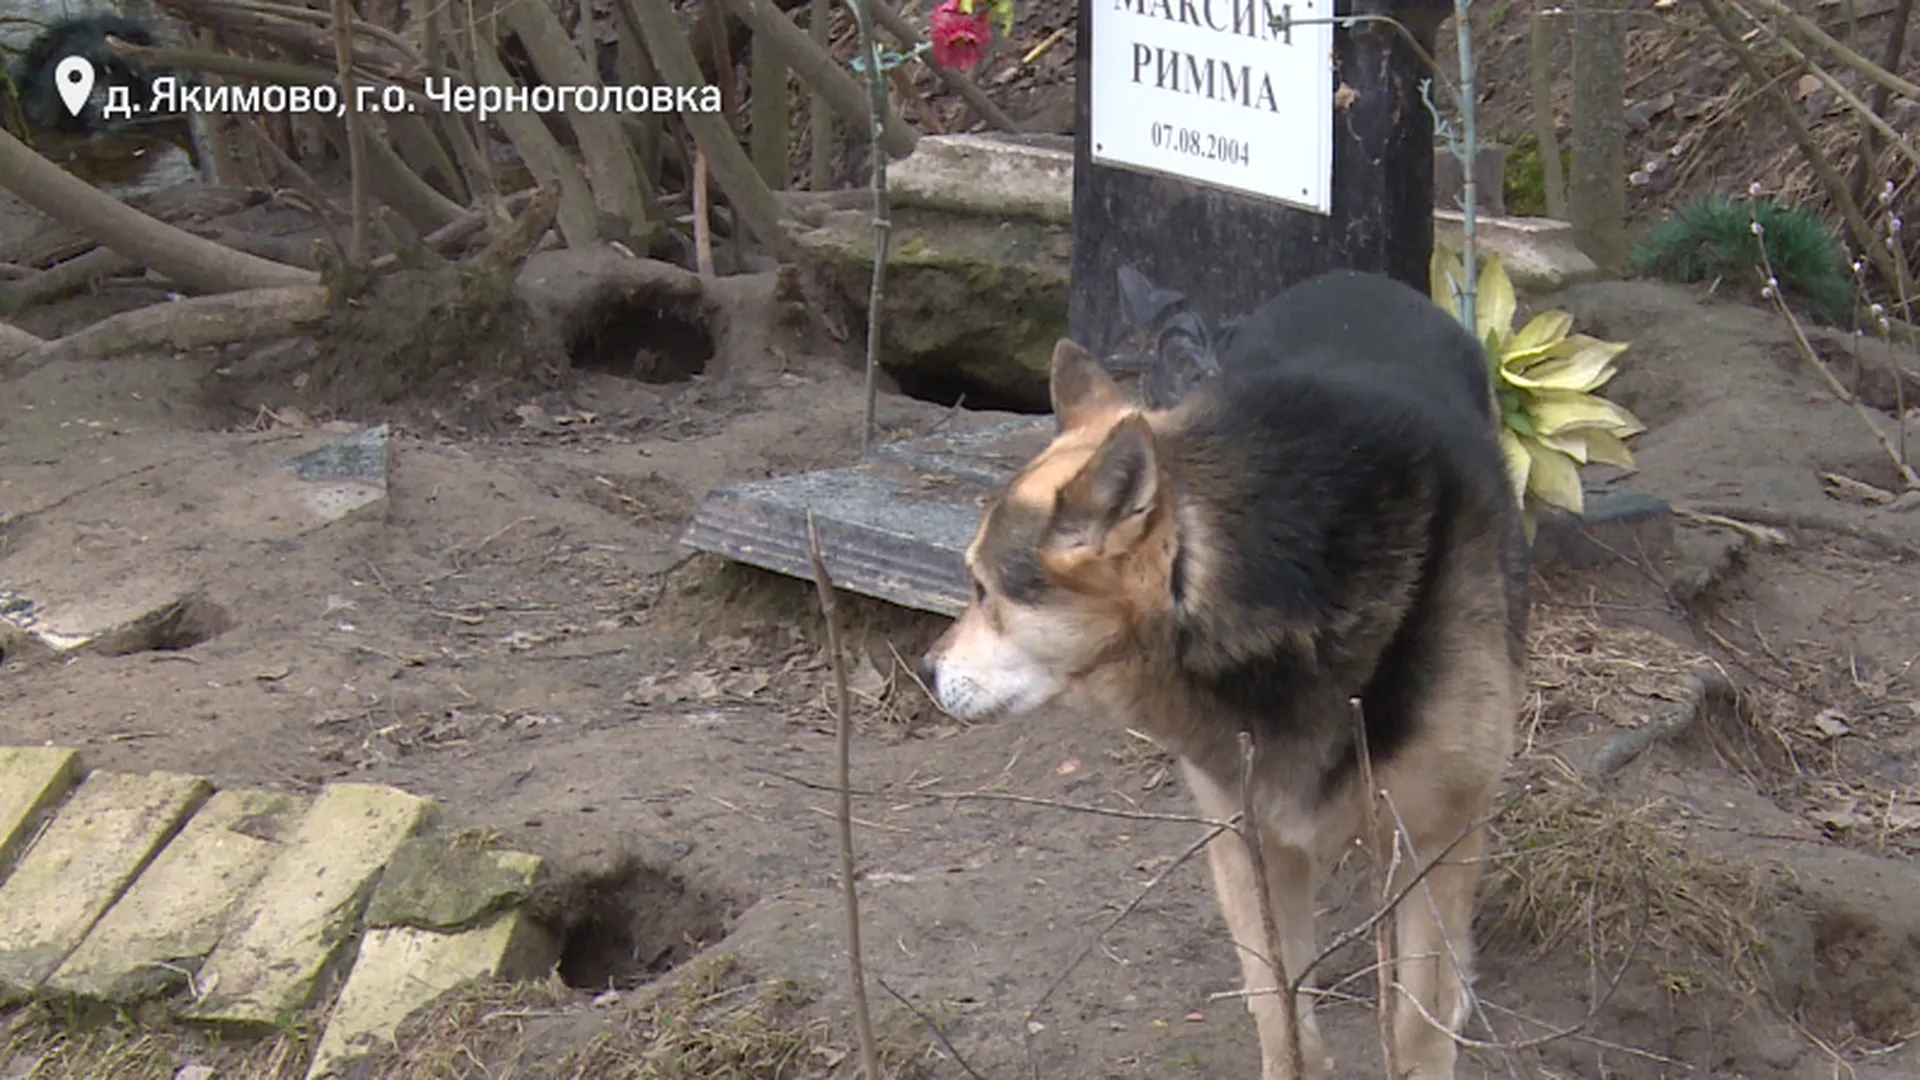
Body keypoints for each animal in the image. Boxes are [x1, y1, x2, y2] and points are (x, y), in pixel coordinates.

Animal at [917, 269, 1528, 1076]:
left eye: (984, 589)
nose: (924, 670)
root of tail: (1355, 277)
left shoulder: (1435, 837)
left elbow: (1417, 1027)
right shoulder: (1247, 842)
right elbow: (1283, 1016)